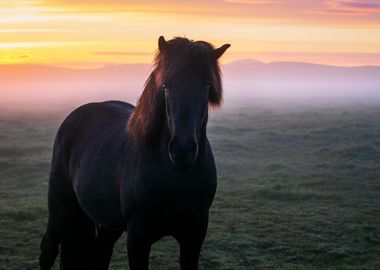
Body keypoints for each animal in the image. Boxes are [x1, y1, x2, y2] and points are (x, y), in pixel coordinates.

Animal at [39, 36, 229, 270]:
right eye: (166, 85)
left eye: (206, 86)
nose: (182, 149)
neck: (177, 176)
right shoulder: (138, 237)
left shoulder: (194, 235)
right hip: (61, 207)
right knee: (48, 249)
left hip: (108, 221)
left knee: (99, 252)